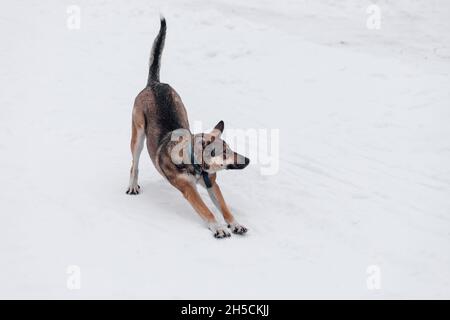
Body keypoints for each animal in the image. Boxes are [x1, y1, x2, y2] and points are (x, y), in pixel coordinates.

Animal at [127, 16, 250, 238]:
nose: (248, 160)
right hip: (138, 135)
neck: (195, 164)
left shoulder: (212, 184)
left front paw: (235, 223)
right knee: (135, 163)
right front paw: (218, 227)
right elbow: (206, 210)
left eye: (231, 149)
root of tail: (154, 83)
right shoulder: (189, 189)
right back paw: (132, 185)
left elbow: (224, 208)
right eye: (224, 153)